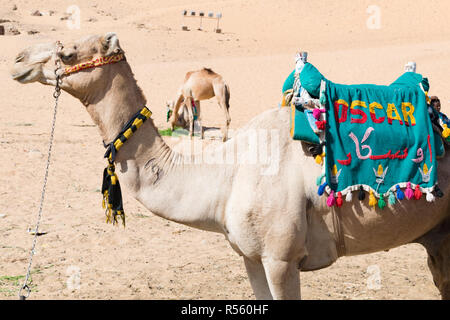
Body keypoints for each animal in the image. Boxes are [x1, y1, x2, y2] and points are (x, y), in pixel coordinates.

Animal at [10, 31, 450, 298]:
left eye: (66, 51)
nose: (16, 60)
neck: (226, 174)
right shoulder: (251, 258)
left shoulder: (281, 259)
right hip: (437, 233)